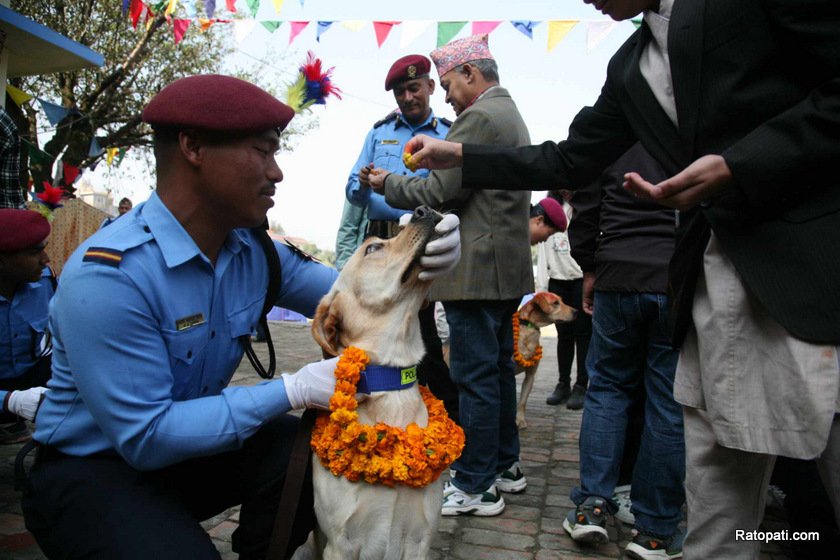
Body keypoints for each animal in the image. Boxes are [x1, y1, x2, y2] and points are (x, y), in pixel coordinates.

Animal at [516, 290, 576, 426]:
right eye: (555, 303)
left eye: (562, 300)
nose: (576, 312)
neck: (529, 327)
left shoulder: (530, 376)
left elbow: (522, 402)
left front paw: (520, 420)